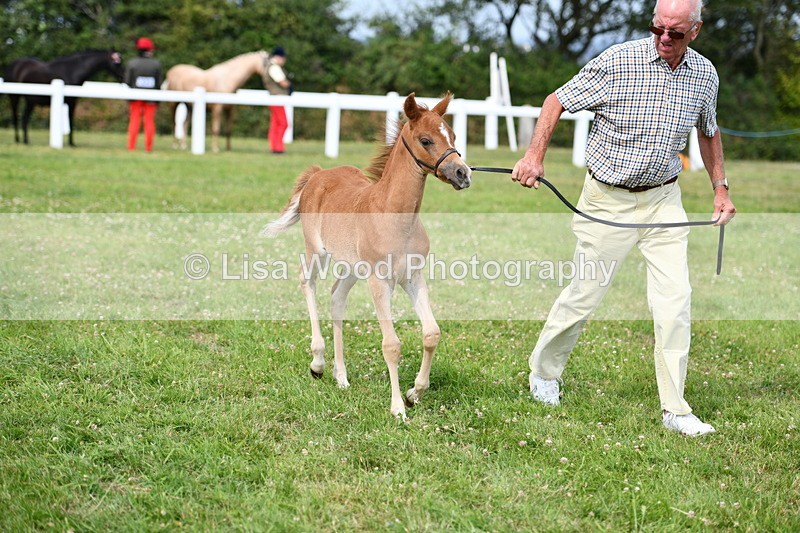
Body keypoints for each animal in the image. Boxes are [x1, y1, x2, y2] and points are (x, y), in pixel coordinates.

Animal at [264, 92, 472, 419]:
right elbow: (392, 344)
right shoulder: (379, 282)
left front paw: (414, 393)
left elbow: (431, 333)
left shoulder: (413, 277)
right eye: (426, 140)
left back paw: (341, 376)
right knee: (307, 283)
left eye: (451, 135)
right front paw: (398, 408)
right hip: (317, 251)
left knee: (336, 298)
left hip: (351, 267)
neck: (396, 218)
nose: (463, 174)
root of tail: (319, 174)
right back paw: (318, 363)